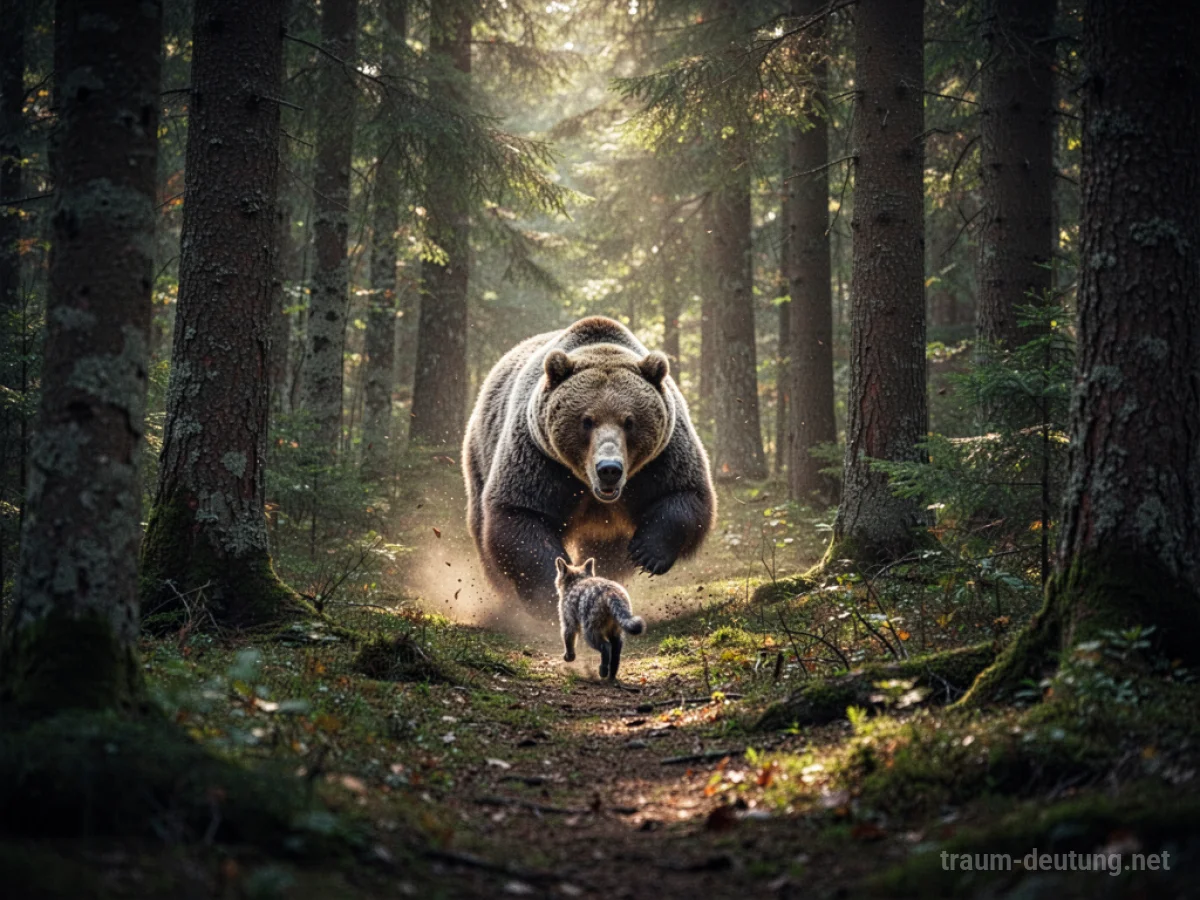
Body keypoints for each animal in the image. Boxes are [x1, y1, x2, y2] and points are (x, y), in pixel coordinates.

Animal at [463, 316, 715, 617]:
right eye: (586, 420)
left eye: (629, 421)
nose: (609, 468)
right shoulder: (540, 459)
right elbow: (520, 515)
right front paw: (549, 592)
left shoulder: (661, 460)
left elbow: (685, 495)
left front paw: (647, 552)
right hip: (480, 455)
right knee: (485, 536)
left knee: (609, 551)